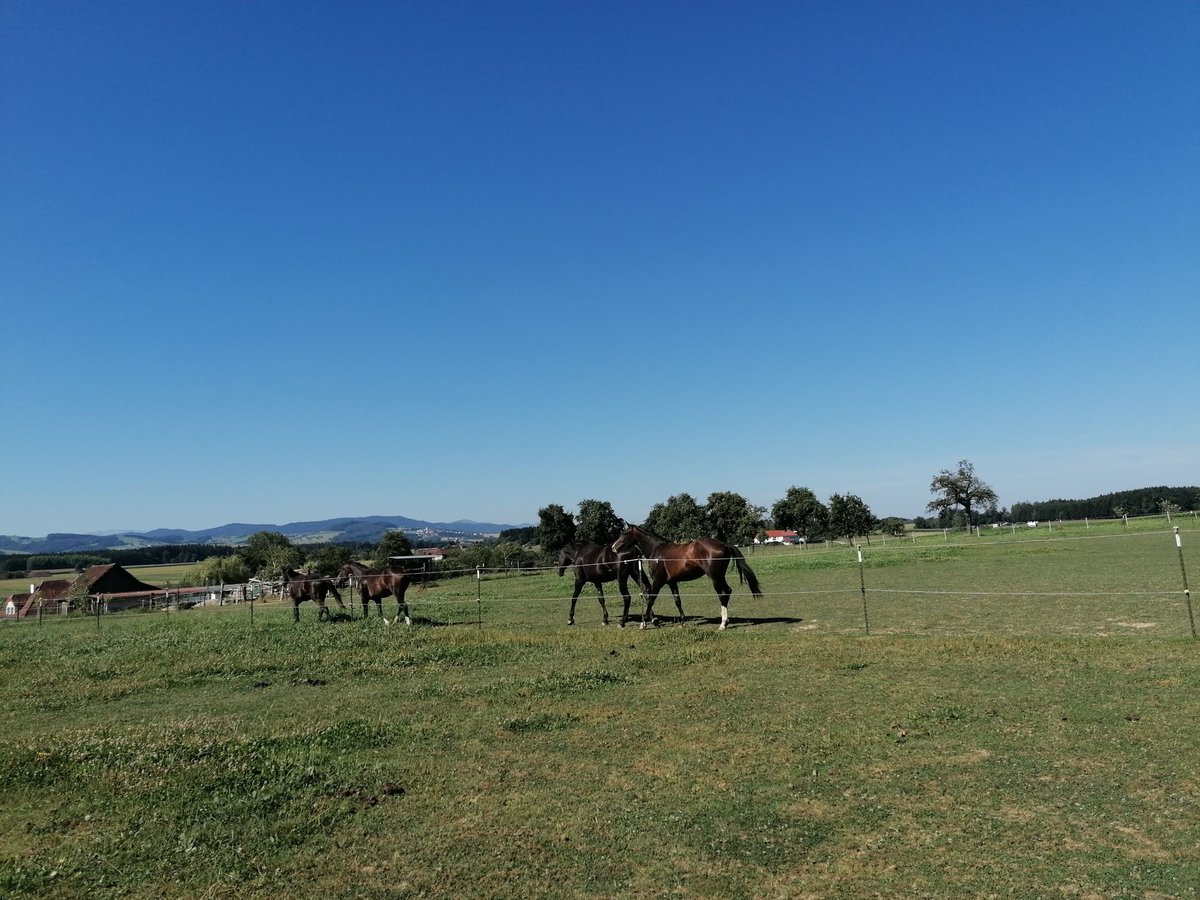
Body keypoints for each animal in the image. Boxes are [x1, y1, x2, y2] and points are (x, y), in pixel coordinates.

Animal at [614, 525, 763, 628]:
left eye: (625, 533)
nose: (614, 547)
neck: (657, 551)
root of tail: (722, 544)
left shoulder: (658, 581)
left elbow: (651, 599)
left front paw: (644, 623)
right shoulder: (672, 582)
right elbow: (677, 600)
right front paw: (683, 621)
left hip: (715, 577)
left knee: (722, 594)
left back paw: (722, 624)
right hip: (720, 576)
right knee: (728, 591)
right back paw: (725, 622)